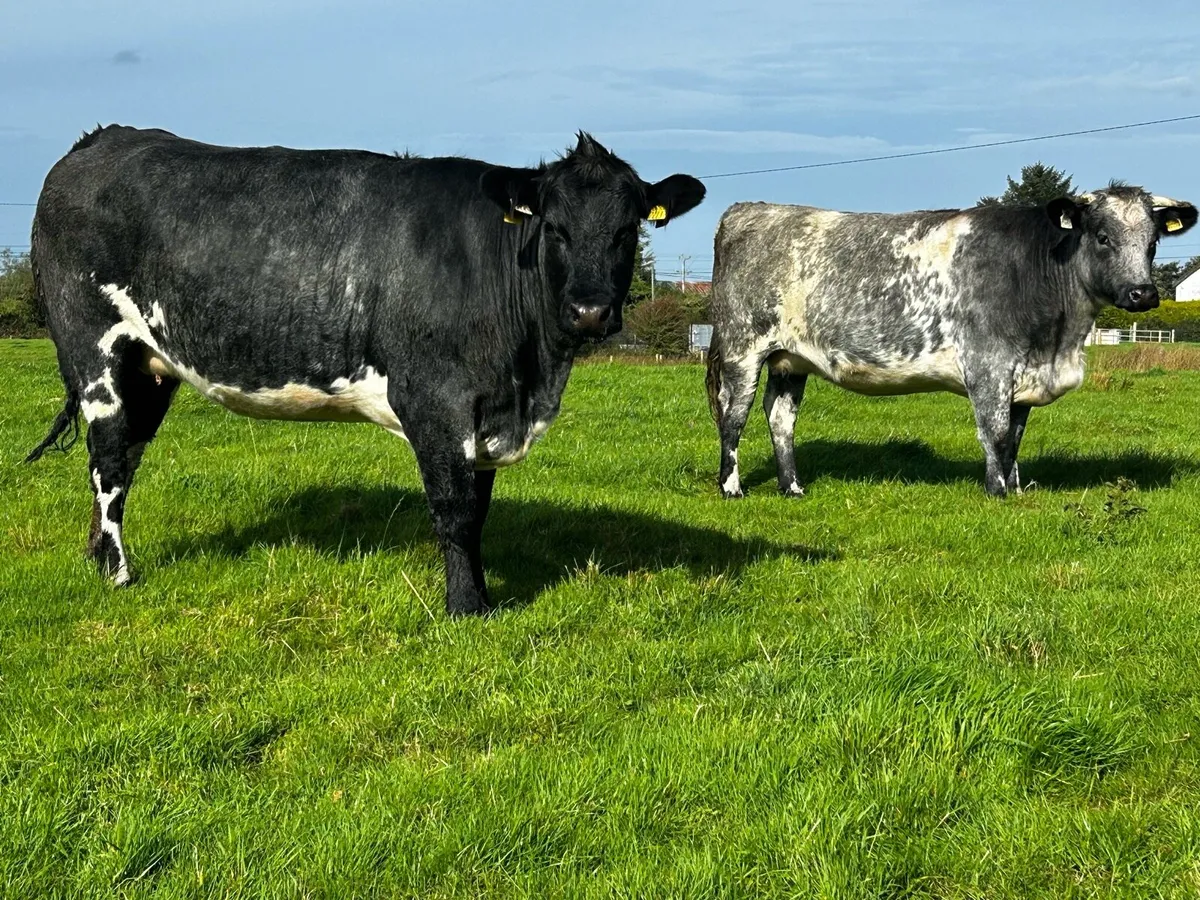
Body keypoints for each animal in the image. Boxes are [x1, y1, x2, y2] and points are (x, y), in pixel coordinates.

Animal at [25, 126, 705, 616]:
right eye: (555, 228)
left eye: (627, 229)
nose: (591, 311)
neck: (529, 378)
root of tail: (99, 140)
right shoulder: (434, 399)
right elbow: (455, 510)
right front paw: (466, 608)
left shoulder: (484, 411)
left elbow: (479, 511)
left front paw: (483, 598)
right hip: (95, 352)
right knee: (109, 461)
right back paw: (118, 573)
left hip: (150, 367)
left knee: (123, 456)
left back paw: (96, 558)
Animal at [705, 186, 1197, 499]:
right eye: (1102, 236)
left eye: (1153, 242)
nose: (1143, 293)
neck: (1059, 341)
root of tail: (749, 209)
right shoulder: (988, 367)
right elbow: (994, 433)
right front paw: (996, 492)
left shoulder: (1024, 377)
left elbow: (1015, 437)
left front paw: (1016, 489)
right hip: (743, 349)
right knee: (733, 416)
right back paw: (732, 487)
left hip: (789, 360)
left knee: (780, 418)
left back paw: (792, 487)